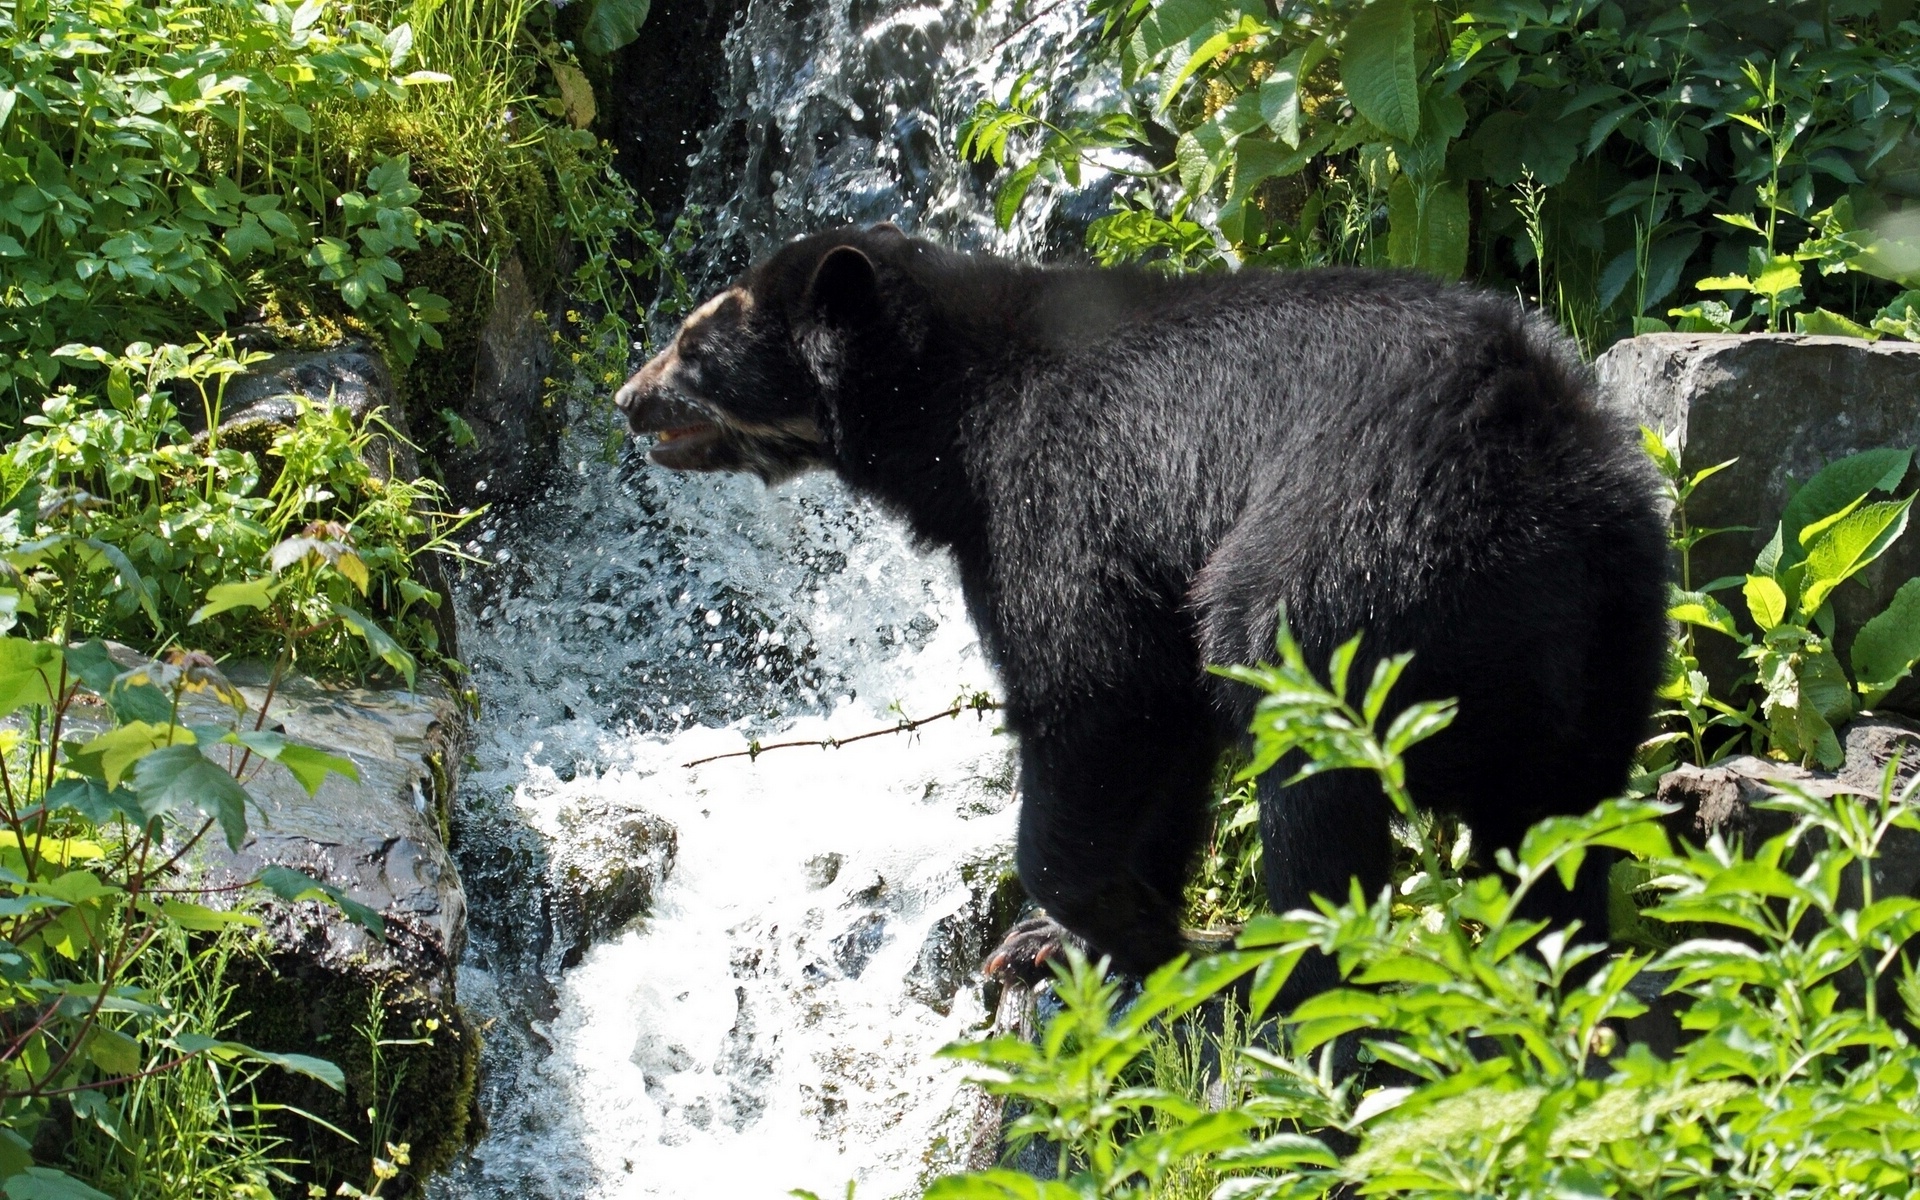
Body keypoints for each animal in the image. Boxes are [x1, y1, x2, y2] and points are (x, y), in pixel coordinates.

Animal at [614, 224, 1670, 991]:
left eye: (695, 346)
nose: (628, 400)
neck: (954, 417)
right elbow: (1165, 739)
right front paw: (1065, 937)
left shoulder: (1063, 495)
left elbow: (1093, 688)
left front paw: (1107, 924)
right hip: (1612, 629)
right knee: (1553, 824)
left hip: (1342, 566)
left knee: (1309, 769)